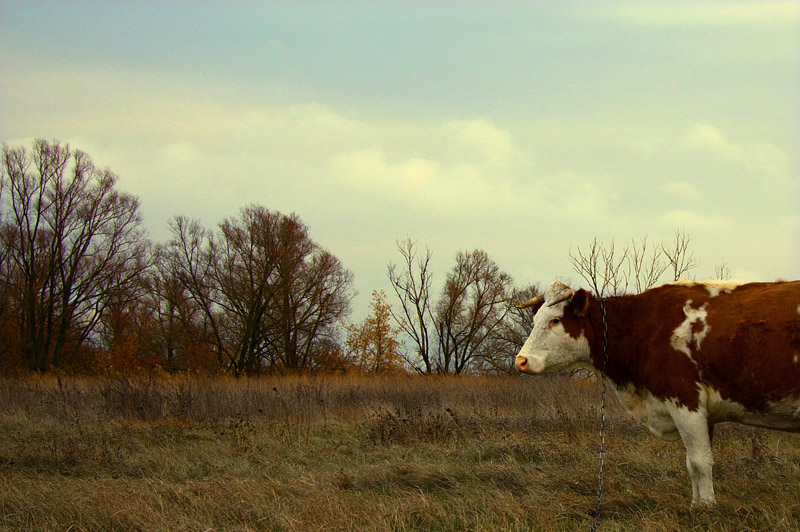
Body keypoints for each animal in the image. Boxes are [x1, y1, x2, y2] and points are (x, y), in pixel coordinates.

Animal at [512, 278, 800, 508]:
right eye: (535, 320)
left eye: (555, 320)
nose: (520, 361)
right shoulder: (700, 412)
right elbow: (692, 463)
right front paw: (696, 505)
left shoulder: (685, 400)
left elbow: (700, 462)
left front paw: (707, 508)